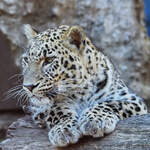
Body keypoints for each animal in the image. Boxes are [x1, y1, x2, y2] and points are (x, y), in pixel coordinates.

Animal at [20, 24, 148, 146]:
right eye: (26, 60)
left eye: (49, 60)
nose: (28, 86)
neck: (80, 92)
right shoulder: (40, 109)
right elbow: (56, 110)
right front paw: (63, 130)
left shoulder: (132, 100)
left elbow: (111, 103)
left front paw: (95, 120)